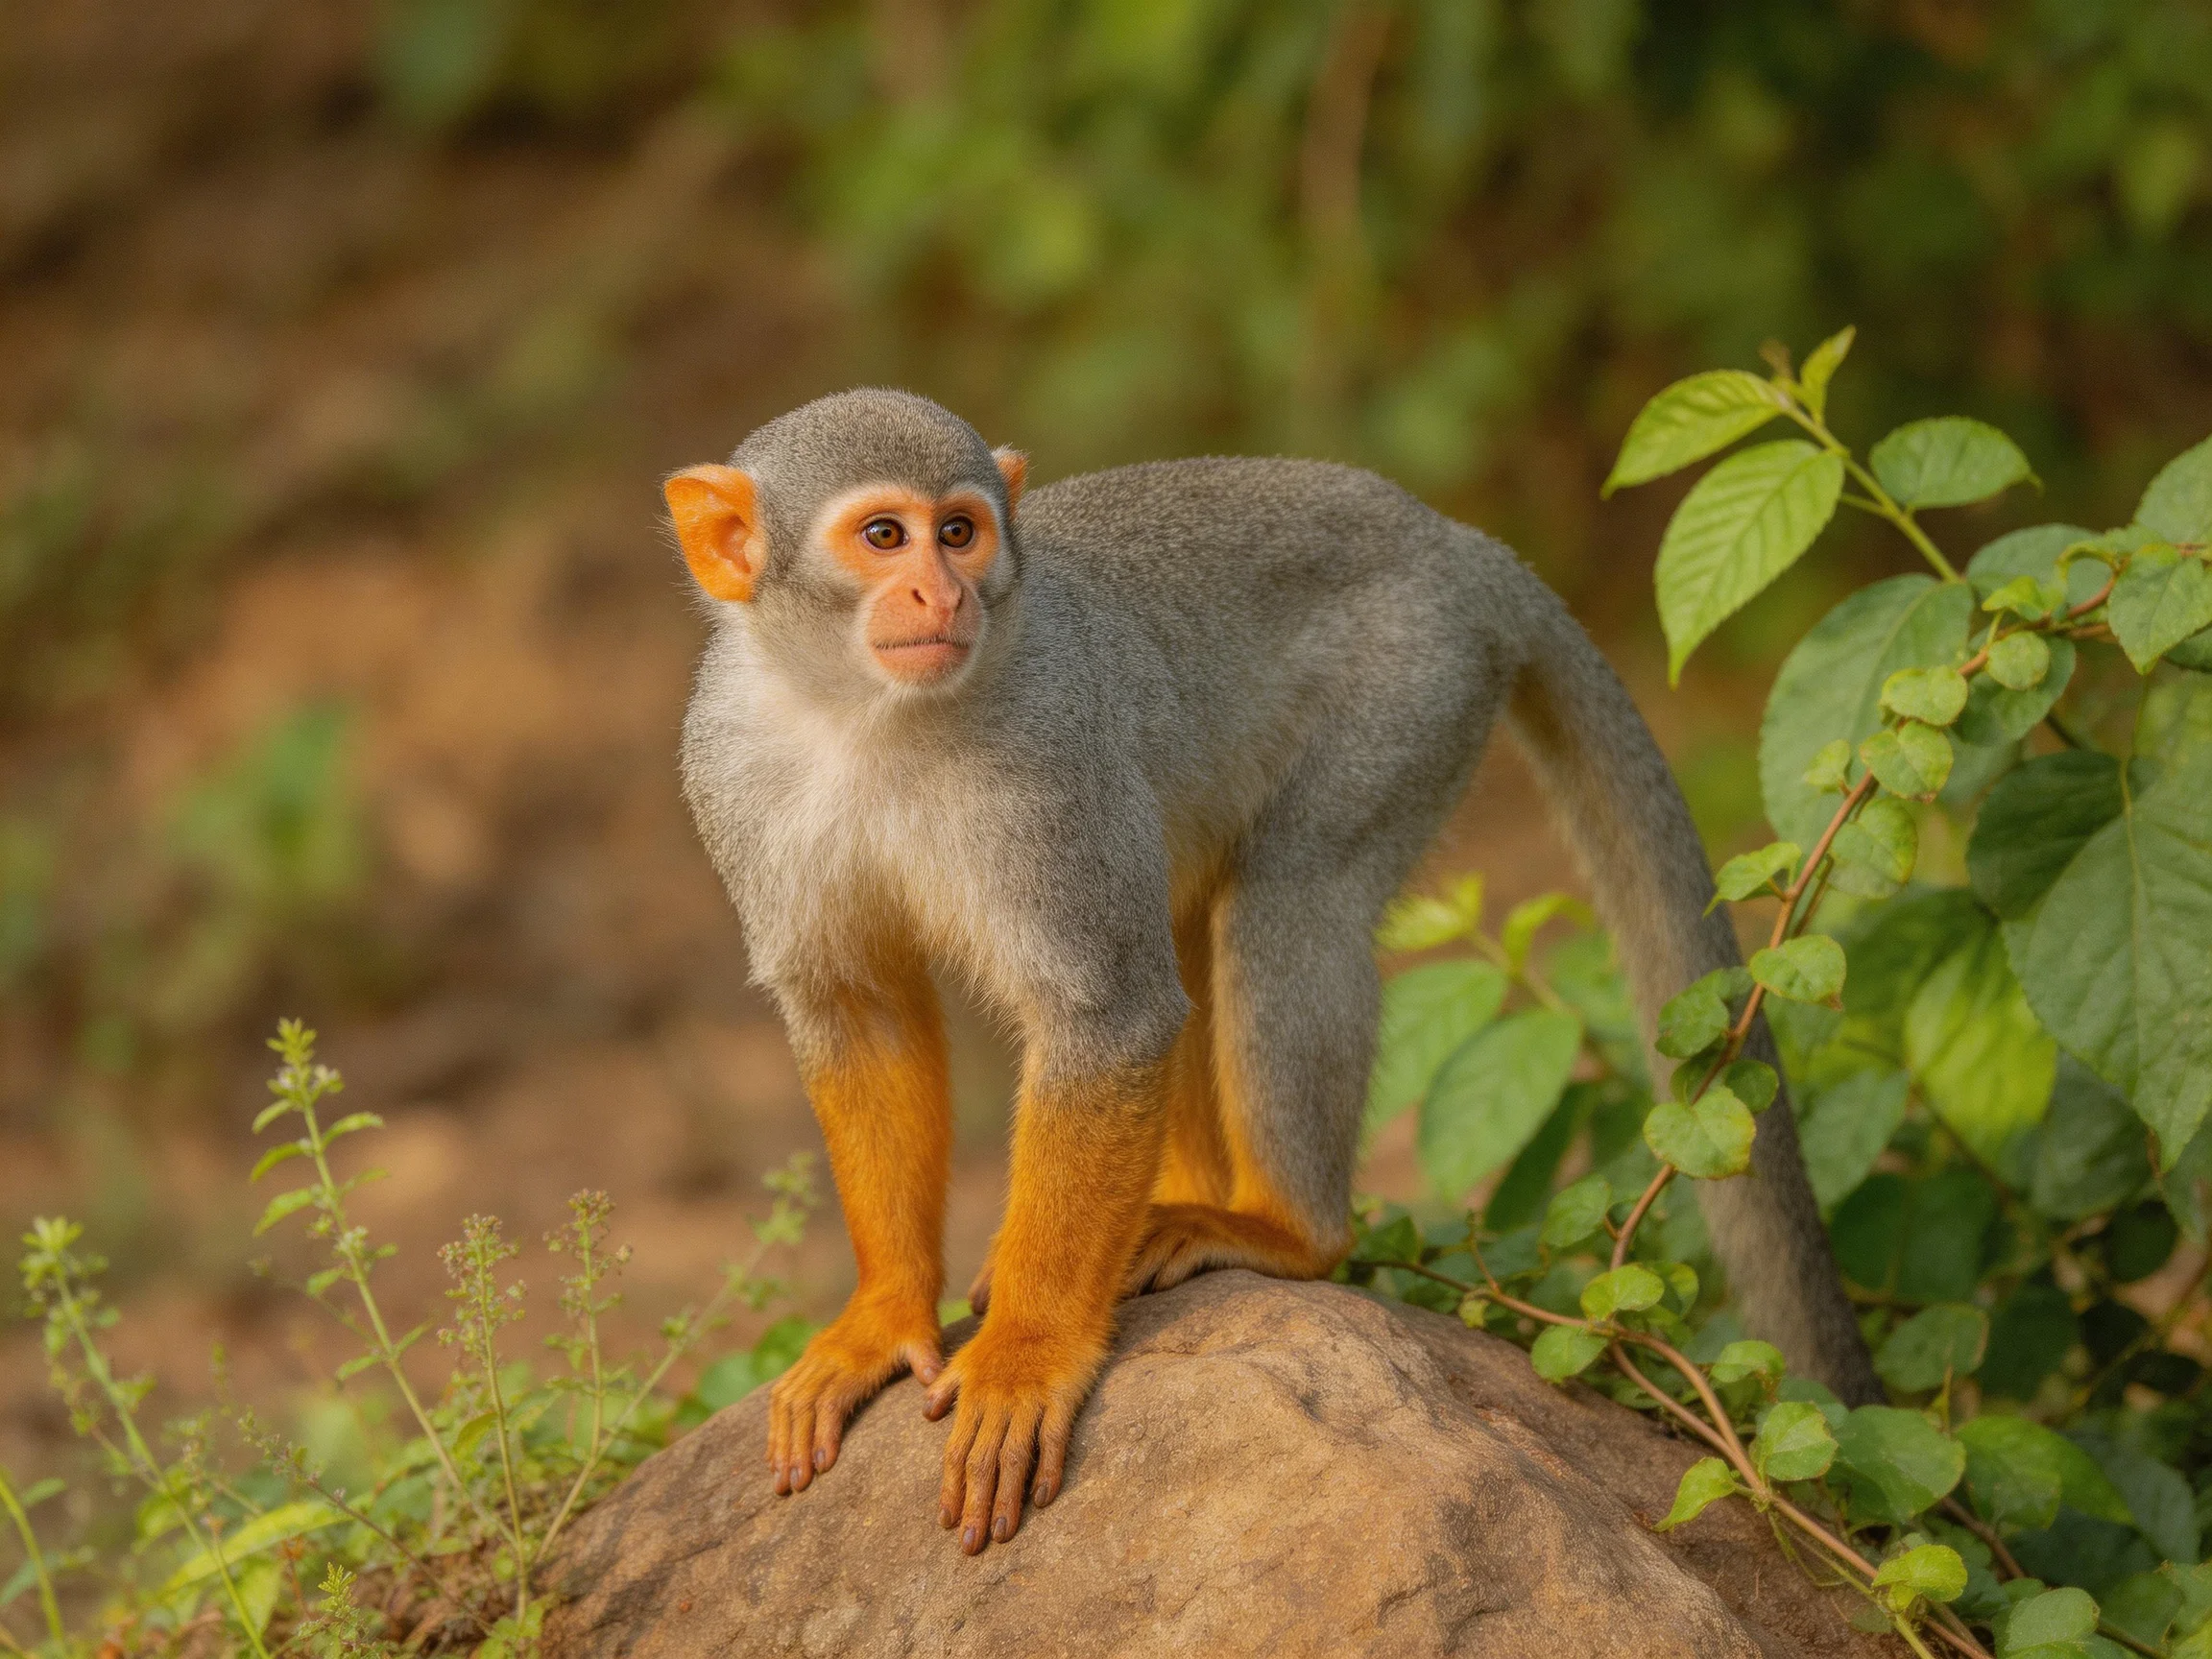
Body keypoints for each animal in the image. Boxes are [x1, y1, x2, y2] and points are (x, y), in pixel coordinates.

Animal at [664, 388, 1879, 1556]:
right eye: (884, 537)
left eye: (958, 533)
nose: (942, 593)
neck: (865, 716)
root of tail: (1448, 538)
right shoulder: (731, 762)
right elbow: (858, 1009)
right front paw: (884, 1315)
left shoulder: (1049, 754)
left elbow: (1112, 1016)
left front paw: (1027, 1351)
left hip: (1414, 686)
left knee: (1291, 897)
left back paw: (1287, 1234)